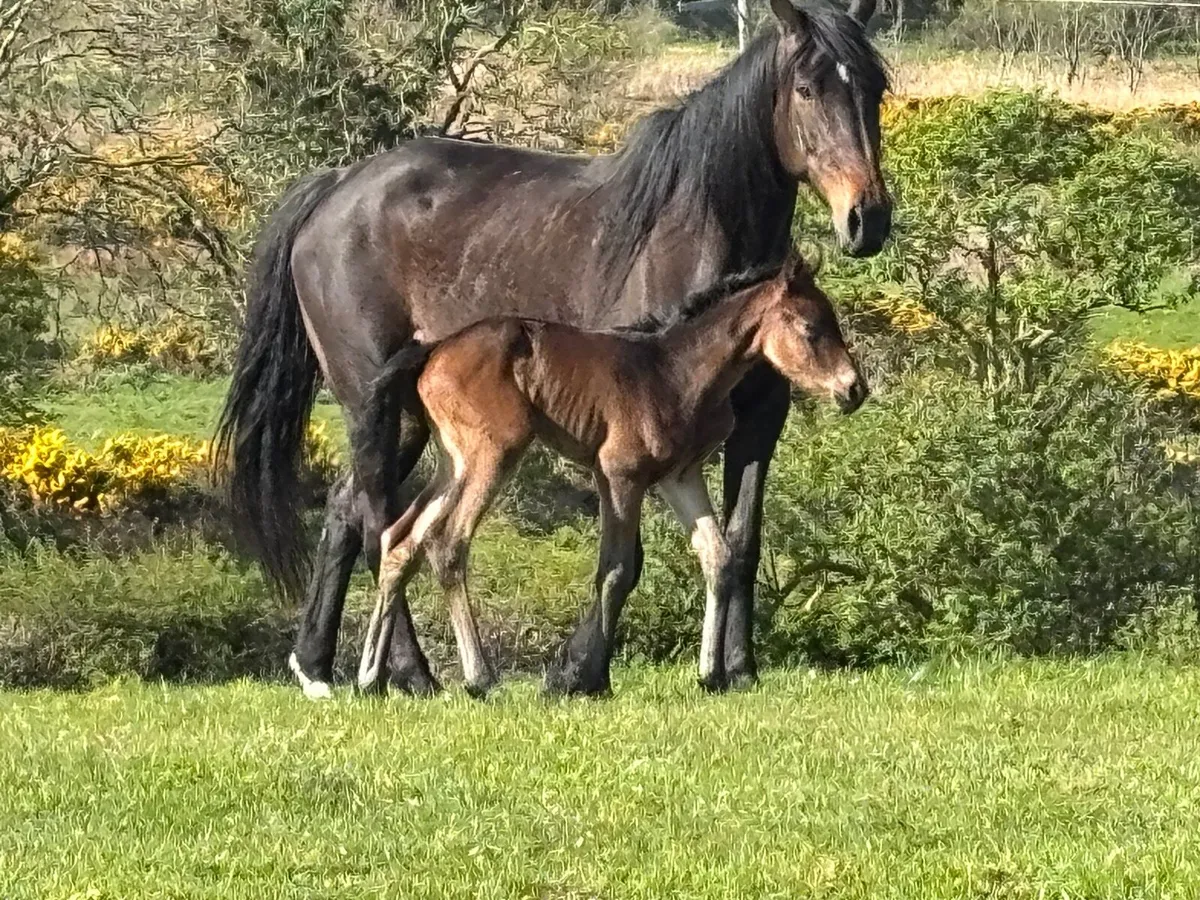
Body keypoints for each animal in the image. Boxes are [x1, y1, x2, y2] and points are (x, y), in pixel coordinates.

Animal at [358, 253, 866, 696]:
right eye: (811, 328)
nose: (854, 389)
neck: (676, 373)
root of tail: (432, 351)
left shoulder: (680, 476)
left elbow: (717, 557)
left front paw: (711, 674)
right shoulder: (620, 476)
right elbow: (616, 569)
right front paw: (587, 680)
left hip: (453, 461)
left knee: (400, 540)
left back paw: (369, 676)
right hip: (492, 454)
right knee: (448, 542)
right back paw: (479, 678)